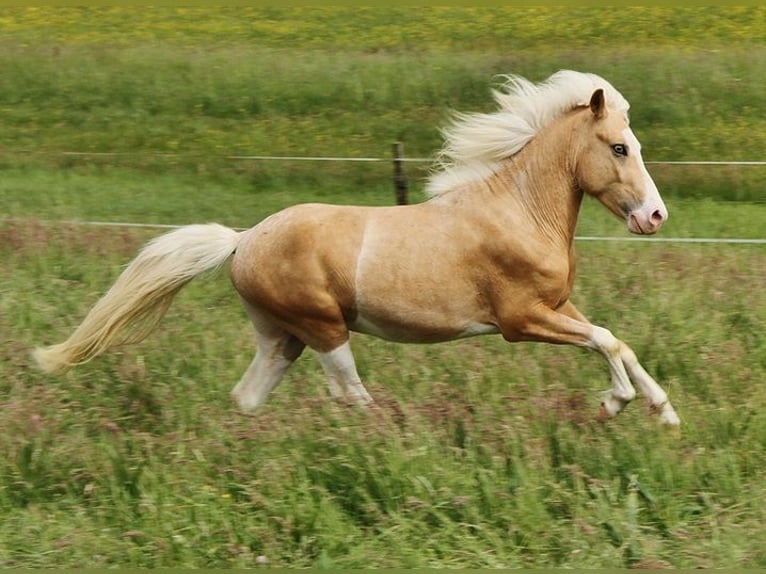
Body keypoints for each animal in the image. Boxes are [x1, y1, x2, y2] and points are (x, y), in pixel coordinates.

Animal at [33, 70, 680, 426]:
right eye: (619, 147)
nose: (654, 216)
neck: (519, 211)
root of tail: (242, 241)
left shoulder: (559, 307)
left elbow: (616, 341)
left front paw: (663, 412)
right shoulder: (521, 320)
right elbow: (606, 342)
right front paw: (614, 405)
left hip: (283, 339)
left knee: (247, 397)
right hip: (324, 329)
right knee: (350, 394)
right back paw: (401, 441)